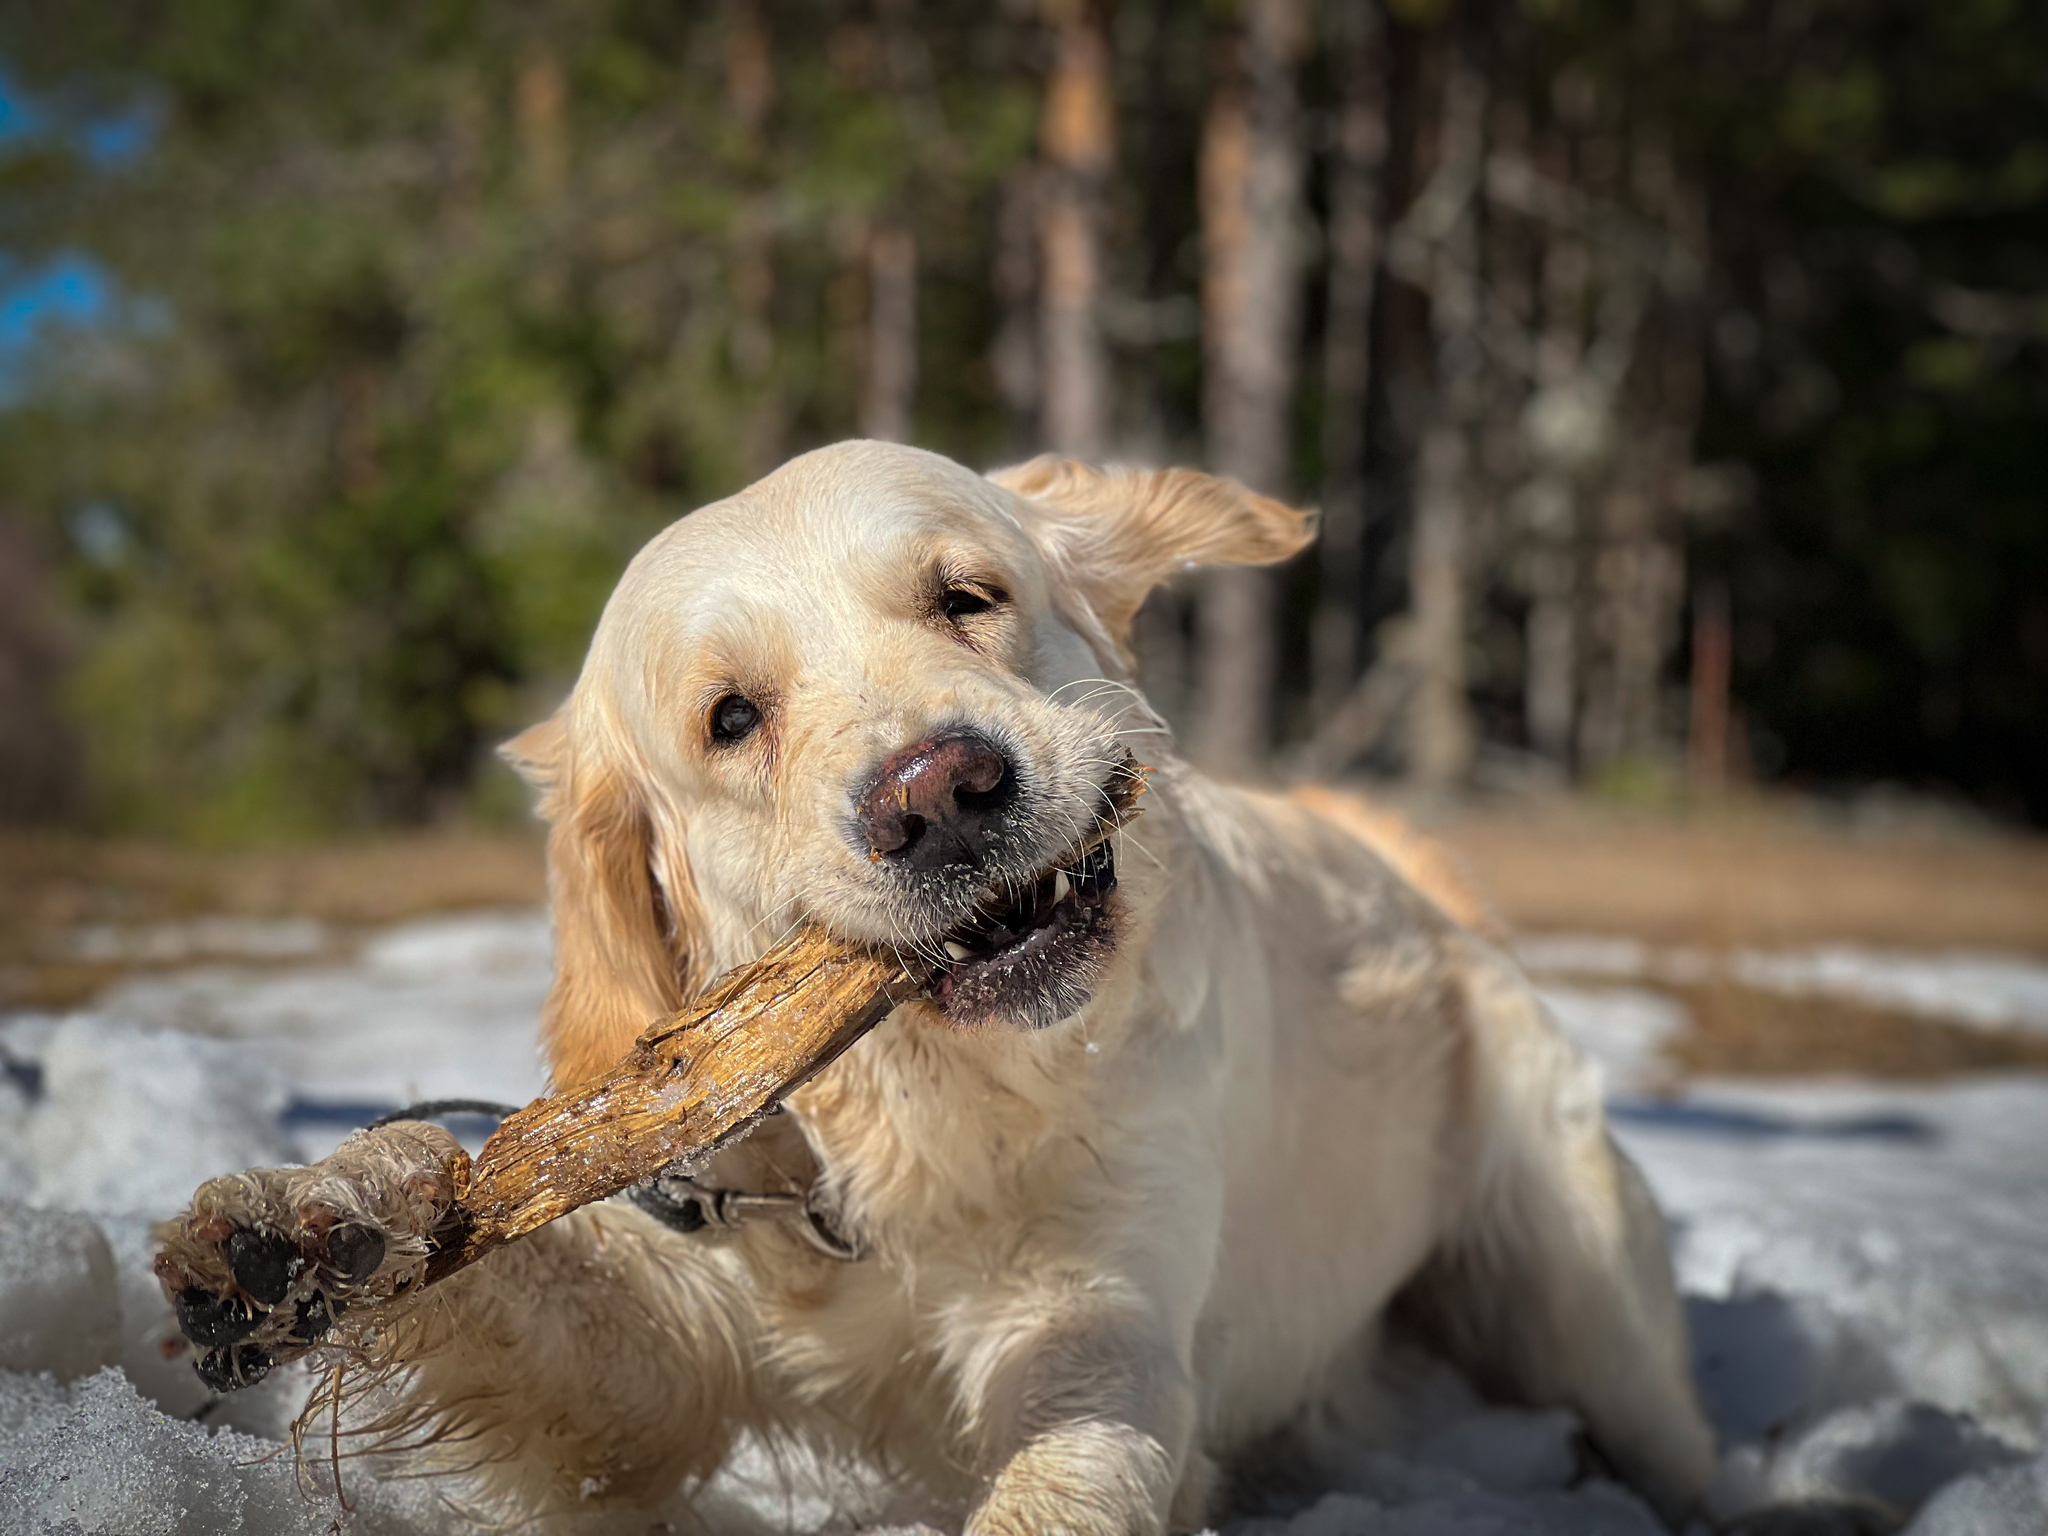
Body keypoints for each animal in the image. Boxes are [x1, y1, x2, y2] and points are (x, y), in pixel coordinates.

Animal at [151, 438, 1712, 1531]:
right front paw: (313, 1222)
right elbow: (528, 1288)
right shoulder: (675, 1337)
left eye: (968, 597)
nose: (940, 795)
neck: (905, 1142)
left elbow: (1063, 1474)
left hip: (1576, 1262)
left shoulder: (1104, 1322)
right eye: (732, 718)